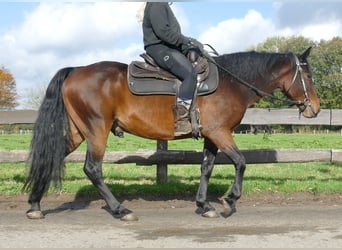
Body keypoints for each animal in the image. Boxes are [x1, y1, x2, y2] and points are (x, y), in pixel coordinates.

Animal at [24, 46, 320, 221]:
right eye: (308, 76)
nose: (314, 109)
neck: (231, 83)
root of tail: (75, 70)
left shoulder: (211, 136)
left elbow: (206, 168)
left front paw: (204, 205)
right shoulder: (220, 132)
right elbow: (240, 162)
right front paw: (229, 200)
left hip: (79, 131)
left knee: (51, 158)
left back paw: (35, 204)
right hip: (97, 130)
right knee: (93, 168)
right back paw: (120, 209)